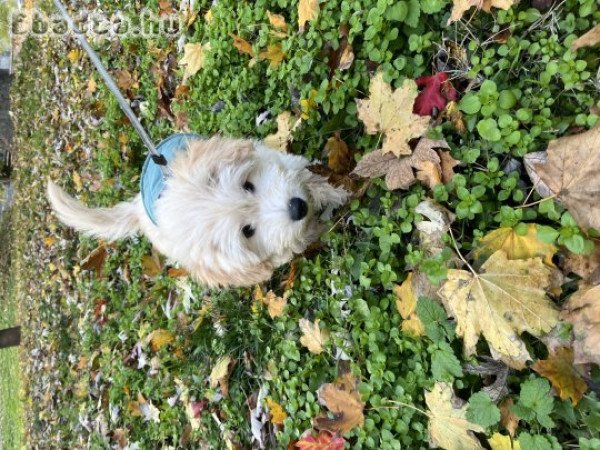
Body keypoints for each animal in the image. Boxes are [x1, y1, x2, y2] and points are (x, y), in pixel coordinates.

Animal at [47, 135, 350, 286]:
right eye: (247, 231)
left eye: (248, 185)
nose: (297, 207)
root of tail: (138, 206)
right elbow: (297, 239)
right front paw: (320, 227)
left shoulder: (280, 161)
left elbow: (304, 177)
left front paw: (335, 193)